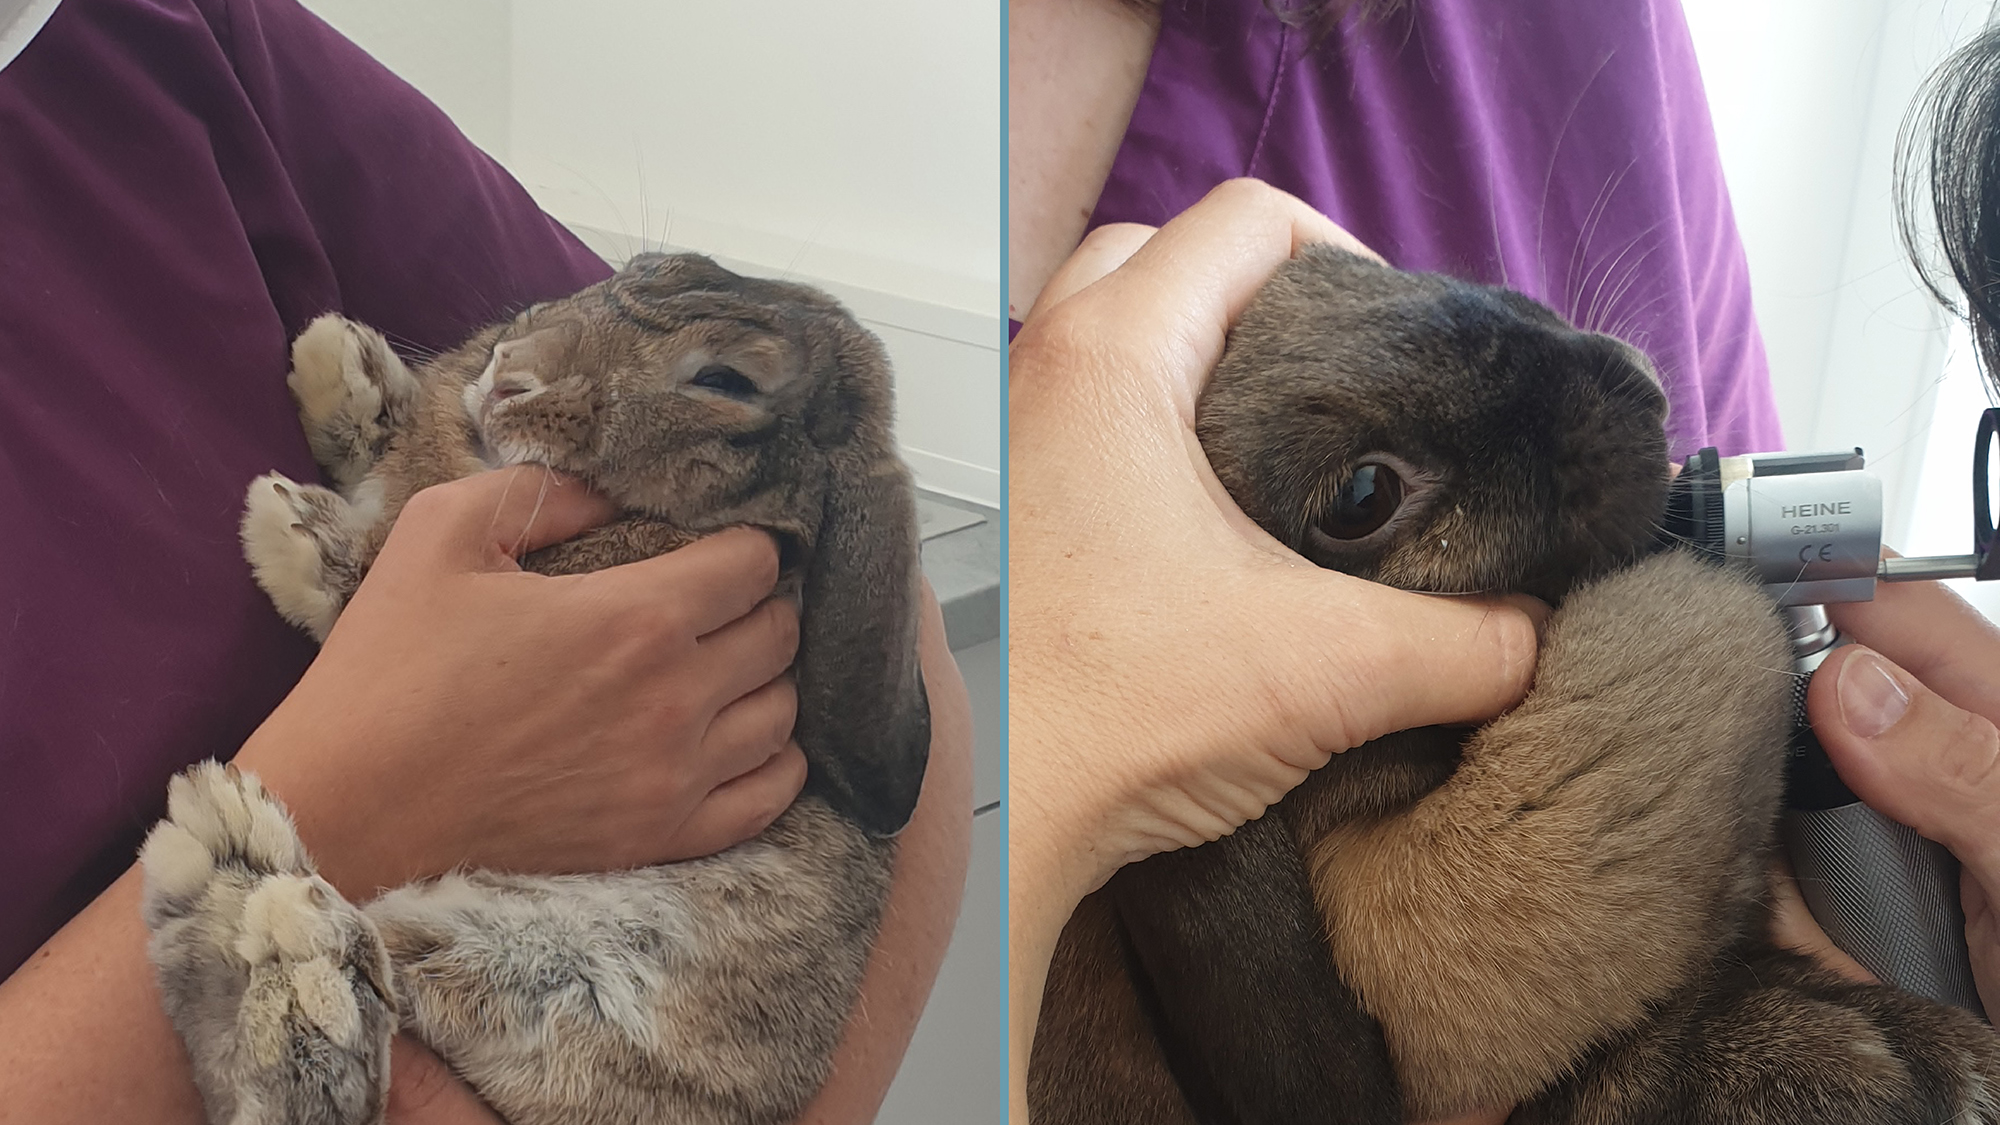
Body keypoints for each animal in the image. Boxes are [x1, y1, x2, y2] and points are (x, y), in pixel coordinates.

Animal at [141, 252, 936, 1120]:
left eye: (724, 380)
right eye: (641, 267)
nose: (508, 372)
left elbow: (369, 572)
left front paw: (294, 531)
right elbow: (391, 457)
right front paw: (338, 363)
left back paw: (273, 925)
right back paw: (232, 882)